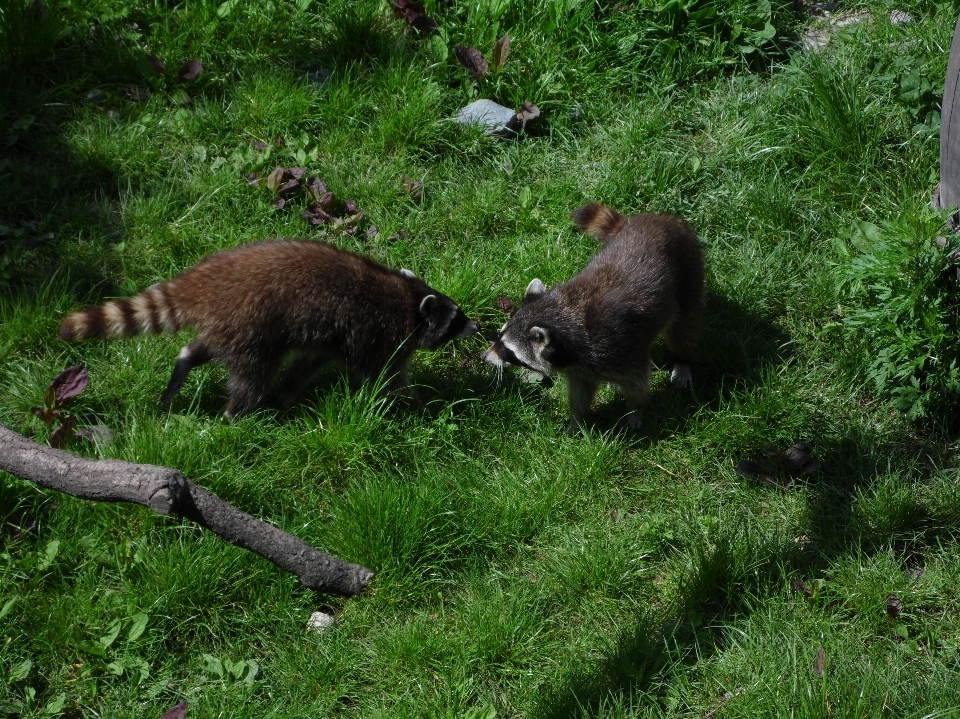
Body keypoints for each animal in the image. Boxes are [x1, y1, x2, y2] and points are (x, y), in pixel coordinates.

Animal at [60, 242, 480, 416]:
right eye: (455, 320)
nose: (476, 325)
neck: (407, 301)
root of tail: (202, 282)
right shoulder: (376, 336)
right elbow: (387, 377)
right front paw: (418, 404)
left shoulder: (329, 340)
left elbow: (304, 367)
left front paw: (287, 395)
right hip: (250, 323)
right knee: (253, 376)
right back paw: (234, 415)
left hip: (230, 325)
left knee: (206, 349)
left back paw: (185, 363)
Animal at [484, 205, 700, 436]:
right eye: (499, 337)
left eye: (506, 349)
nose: (483, 356)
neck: (564, 318)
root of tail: (658, 219)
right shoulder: (580, 368)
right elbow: (580, 394)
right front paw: (576, 421)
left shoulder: (621, 347)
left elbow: (637, 385)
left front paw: (635, 410)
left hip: (689, 274)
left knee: (684, 329)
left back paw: (682, 360)